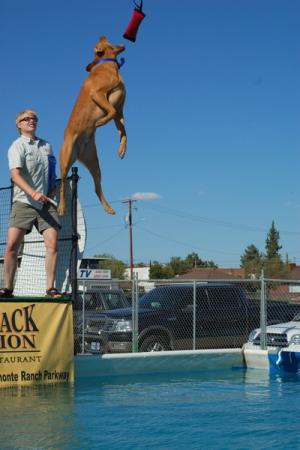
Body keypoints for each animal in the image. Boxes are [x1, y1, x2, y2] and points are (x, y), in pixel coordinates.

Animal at [57, 36, 126, 215]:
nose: (101, 34)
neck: (106, 64)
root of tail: (79, 151)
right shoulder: (98, 94)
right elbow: (110, 112)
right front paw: (100, 122)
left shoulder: (120, 110)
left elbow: (123, 130)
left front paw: (122, 149)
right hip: (66, 159)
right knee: (62, 183)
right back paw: (61, 207)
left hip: (94, 163)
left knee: (97, 188)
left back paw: (108, 207)